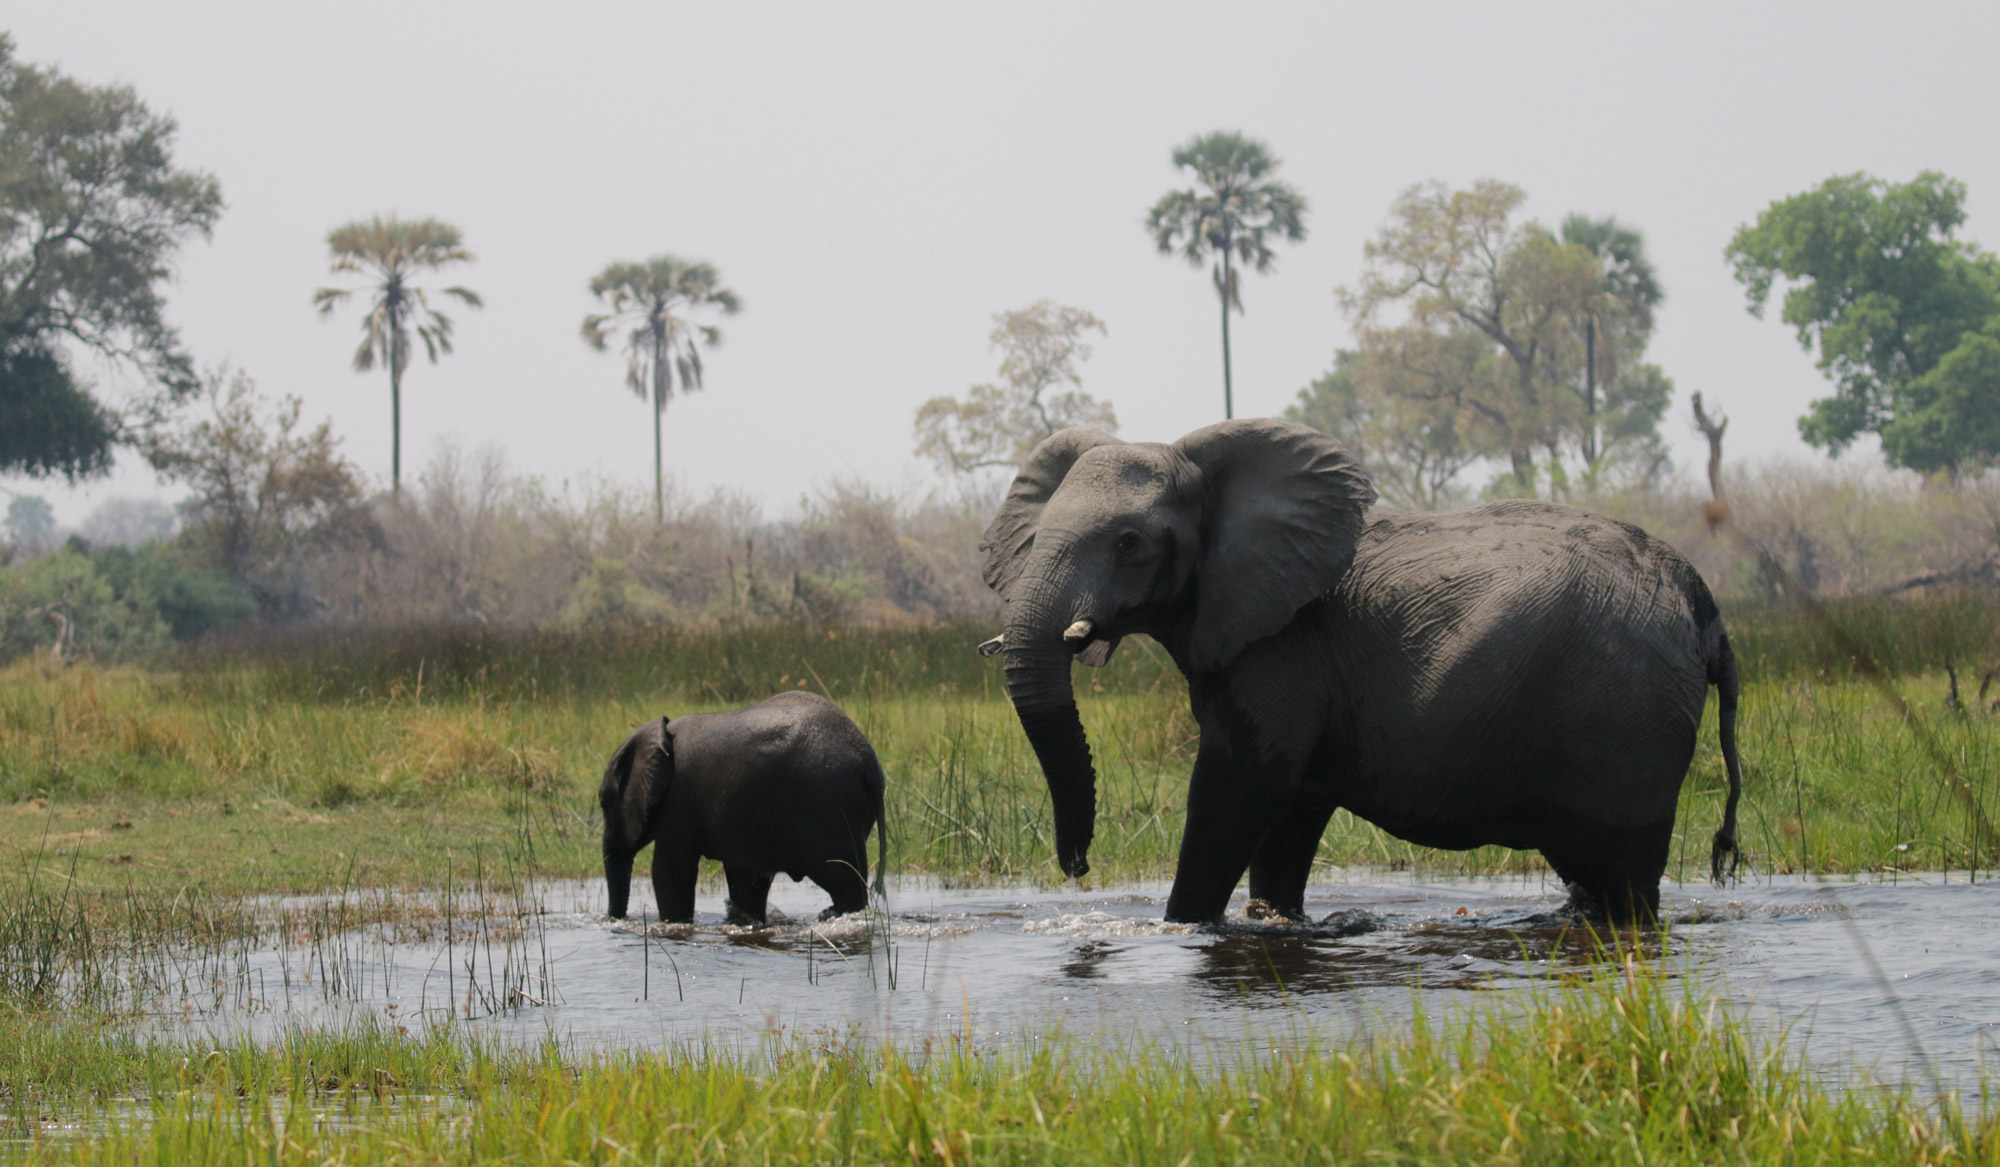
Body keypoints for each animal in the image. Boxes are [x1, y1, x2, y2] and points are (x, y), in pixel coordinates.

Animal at [596, 687, 888, 927]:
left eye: (602, 803)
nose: (615, 921)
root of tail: (869, 760)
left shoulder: (677, 802)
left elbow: (672, 873)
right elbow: (747, 879)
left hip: (829, 806)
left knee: (845, 883)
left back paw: (832, 915)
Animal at [980, 419, 1736, 919]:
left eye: (1130, 543)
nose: (1077, 865)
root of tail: (1700, 598)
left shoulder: (1284, 648)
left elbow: (1235, 792)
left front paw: (1182, 928)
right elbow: (1288, 820)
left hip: (1627, 715)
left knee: (1624, 878)